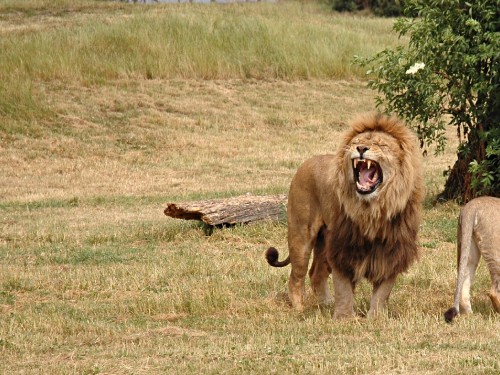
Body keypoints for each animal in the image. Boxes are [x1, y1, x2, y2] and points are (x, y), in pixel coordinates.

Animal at [264, 113, 424, 318]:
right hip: (301, 234)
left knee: (316, 273)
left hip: (324, 240)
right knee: (296, 276)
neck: (373, 210)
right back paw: (299, 308)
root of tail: (307, 162)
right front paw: (344, 318)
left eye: (381, 144)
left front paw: (376, 318)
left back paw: (325, 304)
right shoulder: (343, 247)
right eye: (356, 142)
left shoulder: (392, 251)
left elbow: (383, 292)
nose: (361, 148)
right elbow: (343, 288)